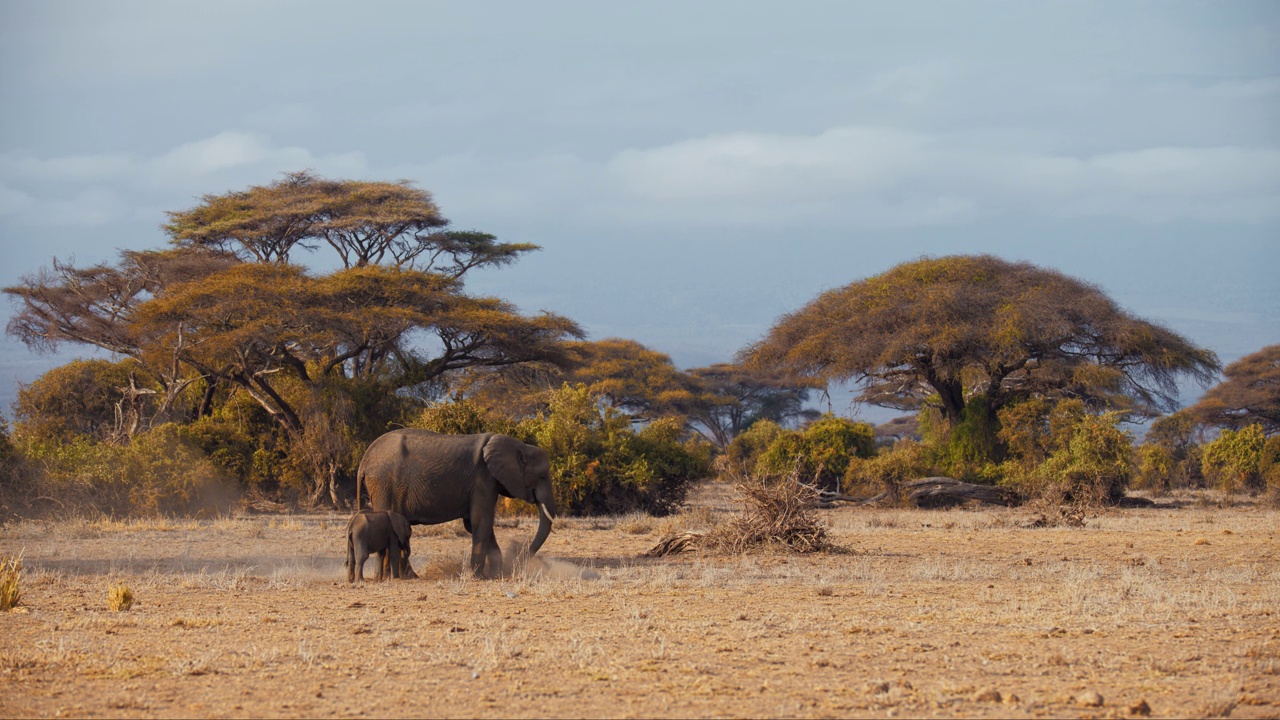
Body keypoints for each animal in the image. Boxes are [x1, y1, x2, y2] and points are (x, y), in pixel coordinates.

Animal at [360, 427, 560, 573]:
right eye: (542, 476)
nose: (517, 557)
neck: (519, 445)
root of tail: (364, 460)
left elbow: (474, 524)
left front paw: (496, 574)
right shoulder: (483, 480)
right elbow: (482, 521)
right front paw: (478, 576)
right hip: (384, 486)